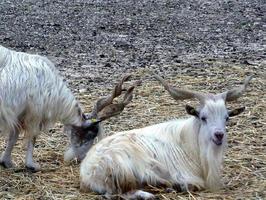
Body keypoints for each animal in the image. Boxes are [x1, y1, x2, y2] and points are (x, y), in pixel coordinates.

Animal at [0, 45, 135, 172]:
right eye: (90, 135)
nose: (81, 158)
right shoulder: (34, 113)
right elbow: (32, 137)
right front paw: (31, 165)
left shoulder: (20, 114)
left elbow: (14, 136)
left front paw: (6, 162)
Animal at [80, 74, 252, 199]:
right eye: (203, 117)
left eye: (227, 118)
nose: (219, 135)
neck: (189, 142)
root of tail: (88, 169)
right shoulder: (185, 175)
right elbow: (191, 184)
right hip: (126, 168)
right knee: (118, 194)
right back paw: (152, 193)